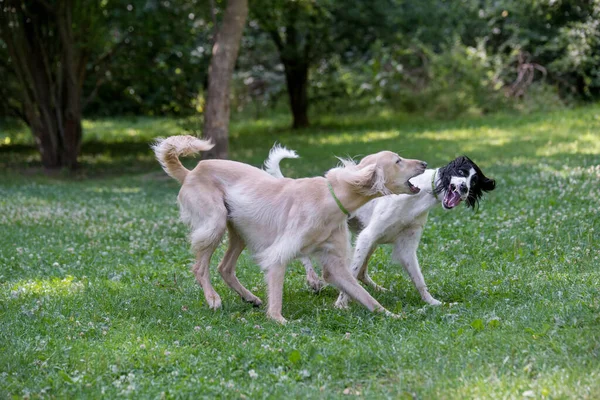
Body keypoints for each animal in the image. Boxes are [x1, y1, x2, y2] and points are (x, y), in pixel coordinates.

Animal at [155, 136, 426, 324]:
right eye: (398, 160)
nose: (424, 163)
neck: (331, 196)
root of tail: (191, 172)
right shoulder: (278, 253)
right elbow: (277, 291)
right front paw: (278, 320)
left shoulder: (335, 264)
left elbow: (365, 296)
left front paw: (391, 315)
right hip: (215, 223)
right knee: (200, 267)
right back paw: (213, 298)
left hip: (238, 230)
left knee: (225, 268)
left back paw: (249, 297)